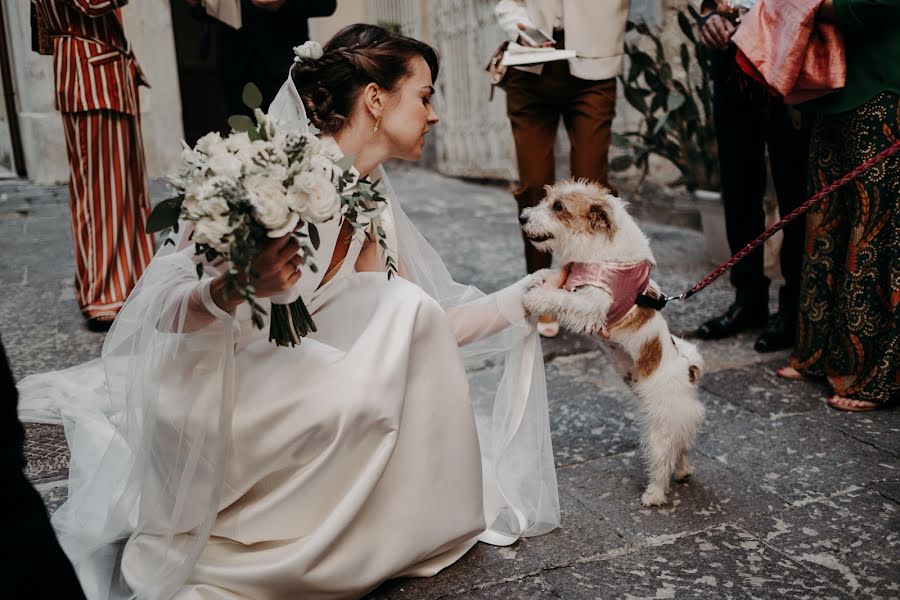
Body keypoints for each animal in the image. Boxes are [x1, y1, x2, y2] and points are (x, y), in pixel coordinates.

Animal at [520, 179, 704, 506]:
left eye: (559, 207)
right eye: (547, 199)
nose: (522, 217)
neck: (599, 254)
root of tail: (688, 372)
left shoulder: (593, 305)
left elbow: (561, 297)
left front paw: (536, 298)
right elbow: (550, 275)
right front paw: (535, 280)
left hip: (659, 427)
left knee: (663, 460)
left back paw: (654, 494)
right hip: (677, 424)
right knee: (681, 449)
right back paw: (684, 471)